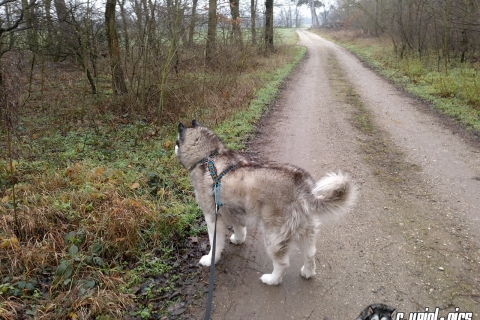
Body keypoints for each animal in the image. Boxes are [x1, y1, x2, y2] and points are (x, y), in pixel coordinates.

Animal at [175, 120, 356, 284]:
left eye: (176, 141)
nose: (172, 147)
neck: (210, 156)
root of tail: (303, 185)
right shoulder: (236, 210)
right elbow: (239, 228)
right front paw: (238, 239)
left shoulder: (212, 217)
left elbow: (215, 243)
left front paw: (210, 259)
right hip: (305, 230)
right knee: (310, 253)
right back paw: (307, 272)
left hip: (274, 236)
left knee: (283, 263)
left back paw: (272, 279)